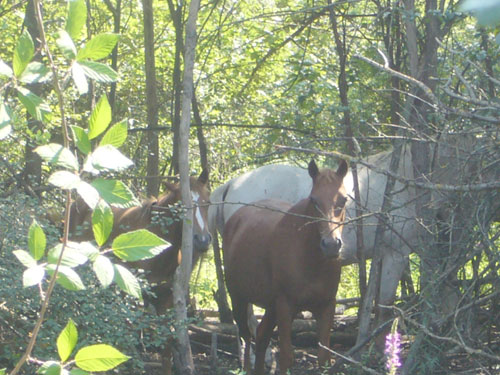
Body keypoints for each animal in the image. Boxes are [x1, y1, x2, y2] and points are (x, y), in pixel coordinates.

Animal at [224, 159, 348, 375]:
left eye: (343, 200)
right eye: (314, 200)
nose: (331, 245)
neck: (311, 260)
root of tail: (236, 217)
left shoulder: (326, 305)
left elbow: (324, 357)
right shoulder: (285, 305)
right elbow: (286, 358)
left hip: (271, 306)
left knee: (261, 335)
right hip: (239, 297)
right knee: (246, 336)